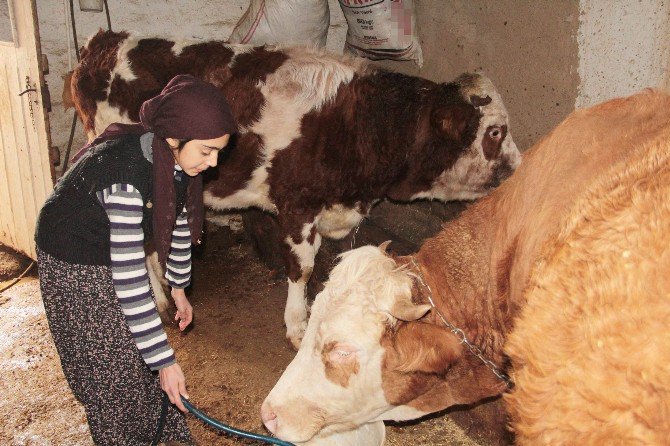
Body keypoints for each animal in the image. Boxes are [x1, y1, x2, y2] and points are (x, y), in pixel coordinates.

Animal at [71, 29, 524, 348]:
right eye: (495, 132)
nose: (520, 169)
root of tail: (105, 41)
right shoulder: (297, 203)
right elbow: (302, 268)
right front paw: (297, 326)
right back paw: (161, 303)